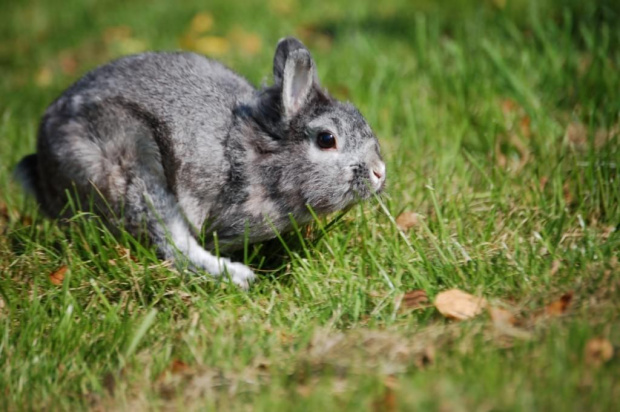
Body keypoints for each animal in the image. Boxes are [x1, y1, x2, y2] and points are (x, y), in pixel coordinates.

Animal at [14, 37, 386, 290]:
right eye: (326, 139)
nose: (379, 172)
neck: (260, 151)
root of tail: (42, 167)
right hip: (134, 164)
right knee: (173, 243)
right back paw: (238, 276)